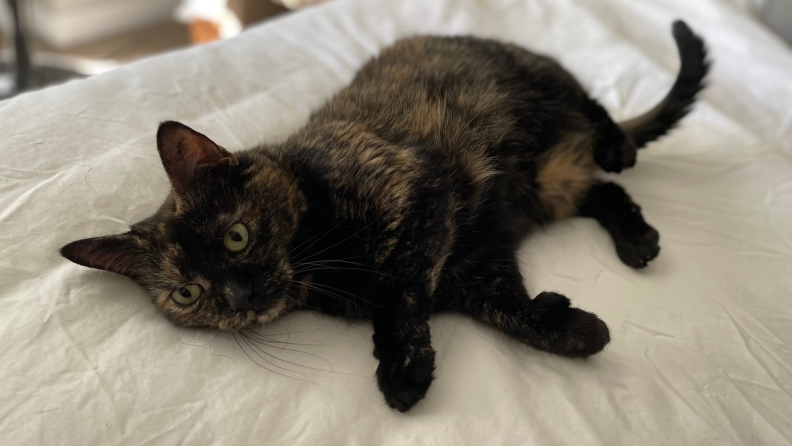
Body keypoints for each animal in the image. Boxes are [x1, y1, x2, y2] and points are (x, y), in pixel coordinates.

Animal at [60, 20, 704, 412]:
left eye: (236, 237)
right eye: (188, 294)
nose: (240, 295)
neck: (323, 263)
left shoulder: (421, 193)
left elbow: (397, 288)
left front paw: (401, 371)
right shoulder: (470, 266)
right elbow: (503, 308)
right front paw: (570, 328)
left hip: (537, 82)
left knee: (589, 106)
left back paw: (616, 144)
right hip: (551, 188)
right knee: (604, 192)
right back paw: (638, 240)